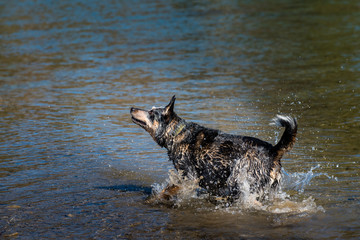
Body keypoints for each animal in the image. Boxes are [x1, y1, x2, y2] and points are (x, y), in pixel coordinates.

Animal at [131, 96, 296, 202]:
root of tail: (273, 151)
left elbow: (167, 189)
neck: (176, 133)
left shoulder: (189, 177)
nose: (132, 107)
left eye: (151, 113)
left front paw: (155, 198)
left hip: (238, 179)